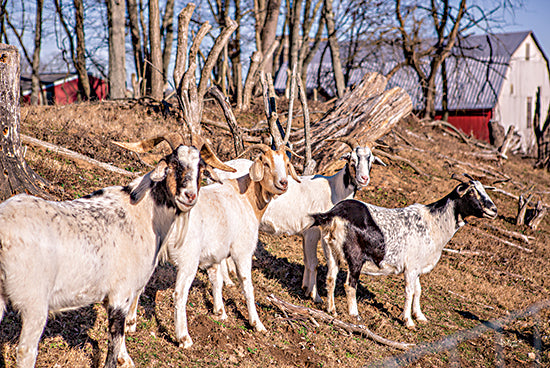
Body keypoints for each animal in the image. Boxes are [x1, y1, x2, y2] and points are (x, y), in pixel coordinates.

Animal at [0, 138, 235, 368]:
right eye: (174, 164)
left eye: (201, 168)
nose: (190, 196)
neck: (141, 212)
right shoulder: (120, 295)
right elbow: (113, 347)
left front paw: (126, 358)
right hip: (34, 302)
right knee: (26, 351)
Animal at [218, 138, 386, 302]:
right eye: (352, 160)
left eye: (371, 160)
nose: (364, 178)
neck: (334, 190)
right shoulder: (312, 232)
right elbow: (313, 263)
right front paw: (315, 296)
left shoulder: (306, 234)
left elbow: (306, 261)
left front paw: (305, 288)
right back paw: (228, 281)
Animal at [310, 175, 500, 328]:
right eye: (471, 192)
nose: (494, 210)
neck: (434, 223)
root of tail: (333, 215)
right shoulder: (411, 267)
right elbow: (409, 291)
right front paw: (408, 321)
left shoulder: (417, 267)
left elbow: (418, 289)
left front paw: (420, 316)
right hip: (355, 257)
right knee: (349, 285)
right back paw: (354, 315)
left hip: (330, 251)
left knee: (330, 278)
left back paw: (332, 310)